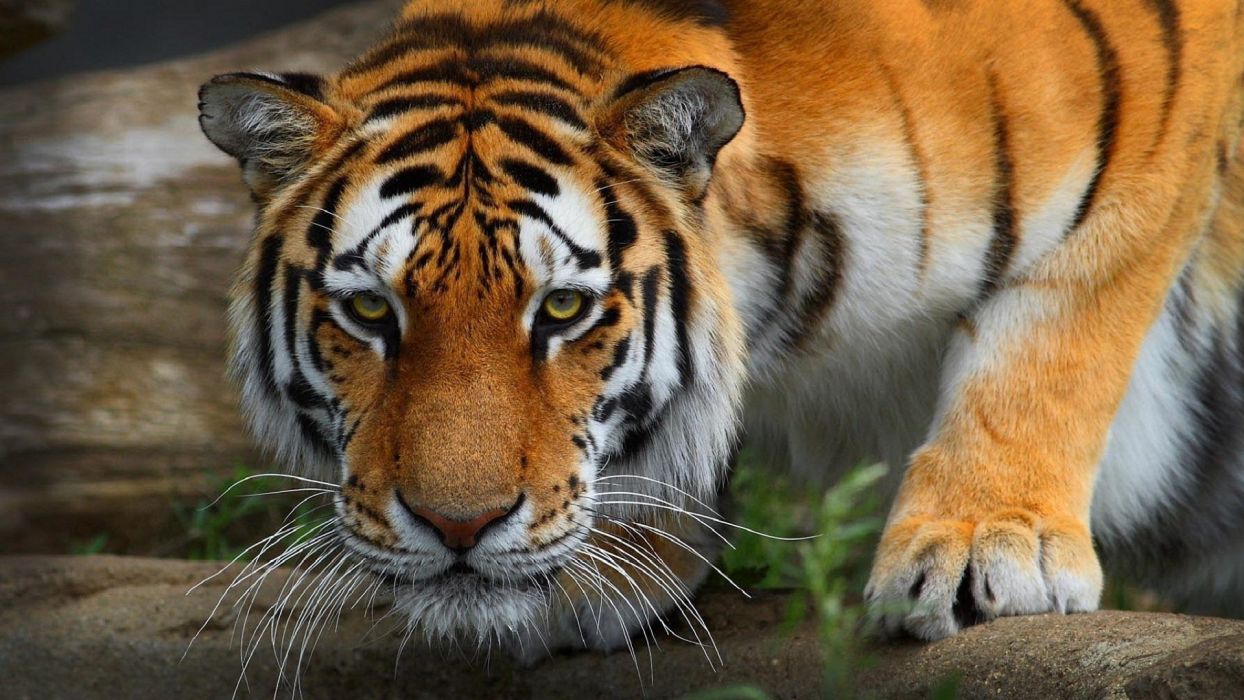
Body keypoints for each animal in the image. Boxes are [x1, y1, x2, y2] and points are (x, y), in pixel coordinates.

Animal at [197, 0, 1244, 657]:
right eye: (370, 310)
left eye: (563, 309)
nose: (459, 527)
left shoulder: (1151, 124)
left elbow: (1052, 341)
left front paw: (990, 545)